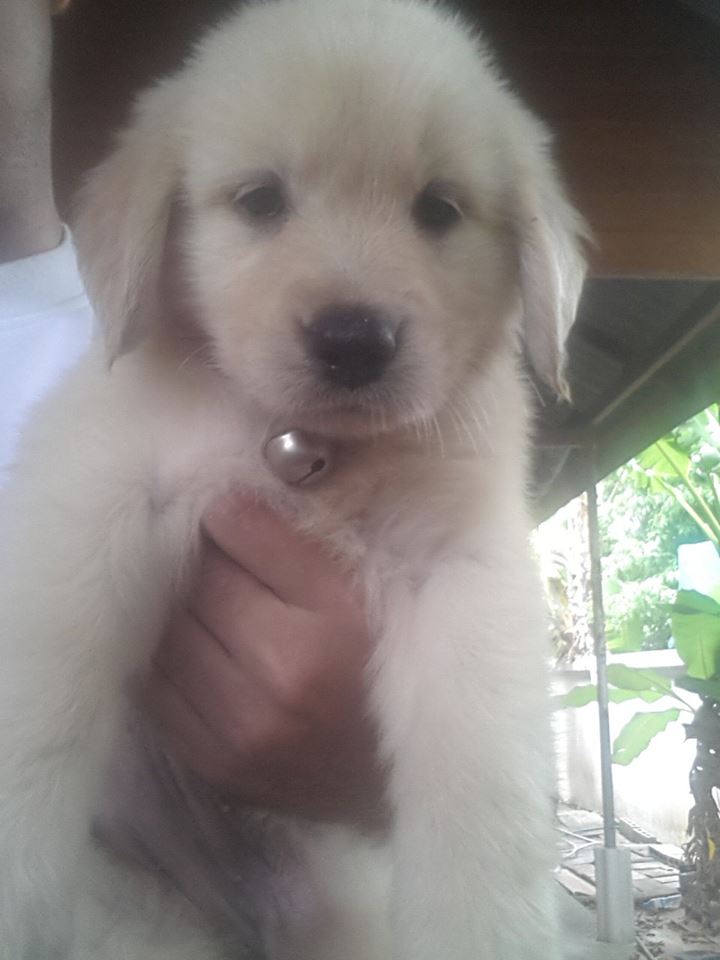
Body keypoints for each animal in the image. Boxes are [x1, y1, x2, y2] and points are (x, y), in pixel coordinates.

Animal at [0, 0, 586, 956]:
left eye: (438, 209)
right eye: (261, 201)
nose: (354, 341)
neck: (302, 442)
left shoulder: (461, 568)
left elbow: (484, 789)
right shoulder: (94, 498)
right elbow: (35, 717)